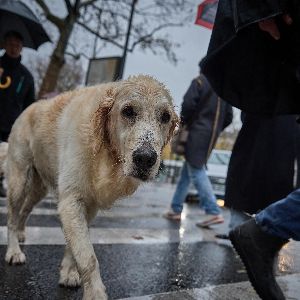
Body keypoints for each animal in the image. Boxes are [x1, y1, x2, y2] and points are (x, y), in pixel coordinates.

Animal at [4, 74, 178, 298]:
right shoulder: (71, 201)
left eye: (165, 117)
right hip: (19, 181)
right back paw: (13, 250)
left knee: (25, 210)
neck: (104, 150)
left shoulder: (89, 205)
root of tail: (30, 107)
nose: (145, 159)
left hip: (38, 188)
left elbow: (75, 247)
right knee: (12, 217)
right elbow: (87, 255)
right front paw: (95, 293)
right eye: (128, 111)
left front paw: (68, 272)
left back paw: (21, 233)